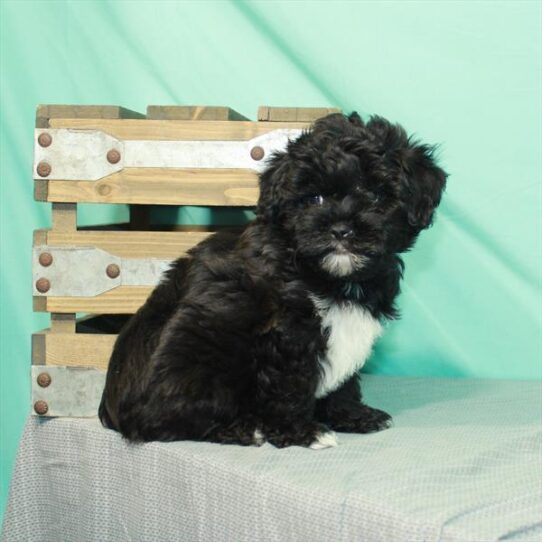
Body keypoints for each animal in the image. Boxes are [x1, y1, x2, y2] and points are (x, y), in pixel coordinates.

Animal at [100, 113, 448, 450]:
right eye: (314, 199)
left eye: (376, 196)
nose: (340, 229)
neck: (327, 276)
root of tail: (112, 414)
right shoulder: (285, 334)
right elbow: (287, 386)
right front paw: (300, 431)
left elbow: (345, 381)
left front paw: (351, 414)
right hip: (200, 355)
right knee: (169, 419)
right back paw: (243, 429)